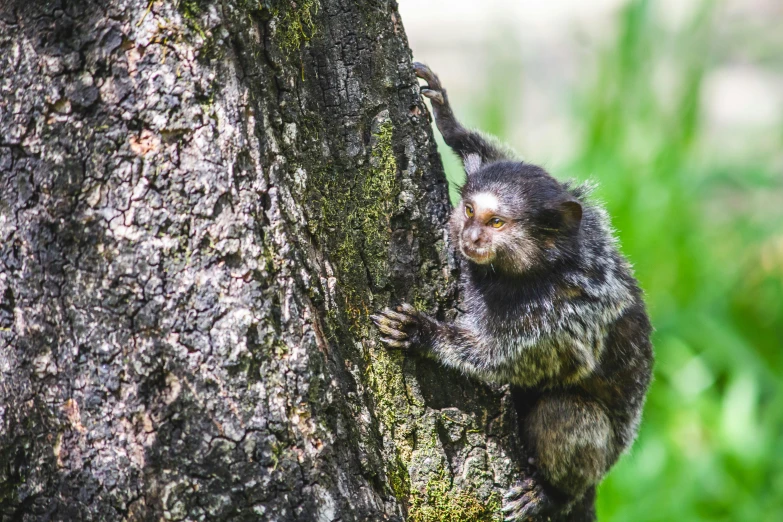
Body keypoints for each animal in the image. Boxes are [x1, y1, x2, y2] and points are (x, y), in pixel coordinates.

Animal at [370, 63, 652, 516]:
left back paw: (553, 493)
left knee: (565, 412)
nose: (470, 236)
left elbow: (511, 358)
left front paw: (423, 333)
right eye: (469, 211)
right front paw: (450, 124)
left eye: (496, 222)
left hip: (597, 456)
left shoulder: (565, 310)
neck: (543, 266)